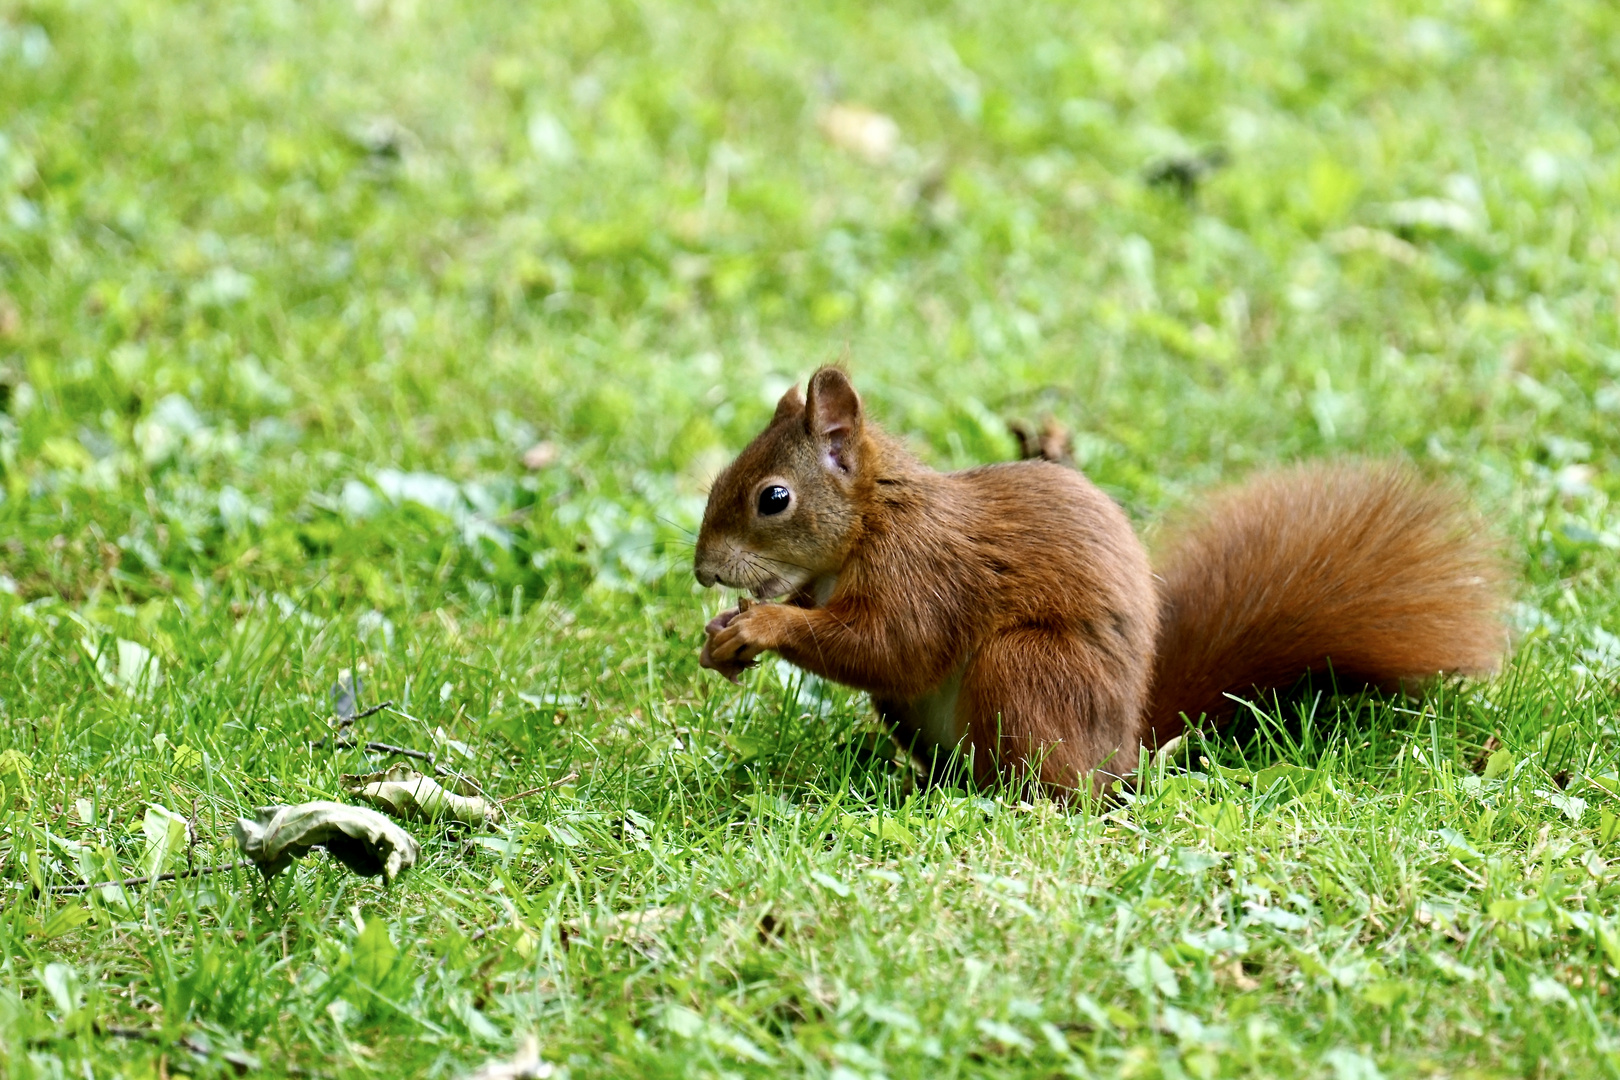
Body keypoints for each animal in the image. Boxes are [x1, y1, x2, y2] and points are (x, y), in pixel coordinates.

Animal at [693, 367, 1503, 790]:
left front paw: (761, 624)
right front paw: (723, 638)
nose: (703, 572)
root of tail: (1124, 752)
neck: (867, 525)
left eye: (773, 498)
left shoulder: (924, 570)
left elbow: (894, 646)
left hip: (1027, 669)